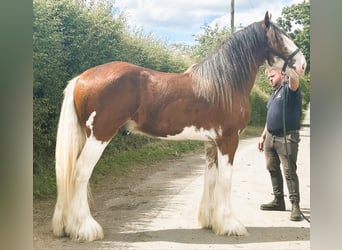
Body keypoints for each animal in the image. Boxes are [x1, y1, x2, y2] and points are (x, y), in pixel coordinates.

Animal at [52, 12, 306, 242]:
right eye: (279, 38)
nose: (303, 65)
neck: (223, 84)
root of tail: (81, 78)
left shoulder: (211, 143)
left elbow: (211, 178)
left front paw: (210, 222)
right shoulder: (228, 141)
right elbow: (225, 180)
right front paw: (231, 225)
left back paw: (67, 226)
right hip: (99, 136)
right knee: (80, 174)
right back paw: (86, 228)